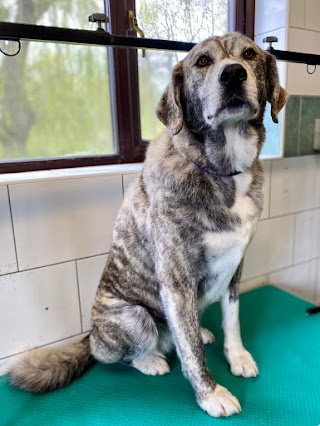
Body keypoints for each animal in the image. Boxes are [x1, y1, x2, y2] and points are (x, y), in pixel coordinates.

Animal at [10, 32, 288, 416]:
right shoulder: (176, 280)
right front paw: (210, 393)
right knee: (119, 353)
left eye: (249, 54)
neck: (222, 171)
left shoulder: (236, 267)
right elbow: (191, 352)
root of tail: (91, 334)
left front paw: (238, 357)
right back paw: (151, 359)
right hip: (134, 318)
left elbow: (232, 320)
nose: (233, 74)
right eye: (202, 61)